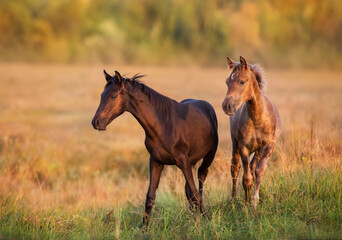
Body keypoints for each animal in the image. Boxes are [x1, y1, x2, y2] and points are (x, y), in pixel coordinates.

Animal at [92, 70, 218, 227]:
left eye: (113, 95)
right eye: (102, 95)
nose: (96, 122)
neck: (163, 124)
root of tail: (207, 106)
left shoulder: (183, 161)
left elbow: (195, 193)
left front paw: (207, 222)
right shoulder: (156, 161)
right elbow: (150, 196)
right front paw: (144, 228)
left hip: (207, 158)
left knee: (200, 181)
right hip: (192, 161)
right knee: (188, 190)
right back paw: (192, 216)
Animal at [222, 56, 280, 208]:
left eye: (242, 81)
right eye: (227, 81)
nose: (227, 106)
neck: (258, 118)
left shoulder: (269, 146)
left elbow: (259, 171)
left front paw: (254, 201)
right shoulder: (244, 147)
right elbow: (246, 178)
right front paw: (247, 204)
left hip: (258, 150)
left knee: (253, 167)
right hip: (235, 146)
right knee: (235, 169)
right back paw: (233, 200)